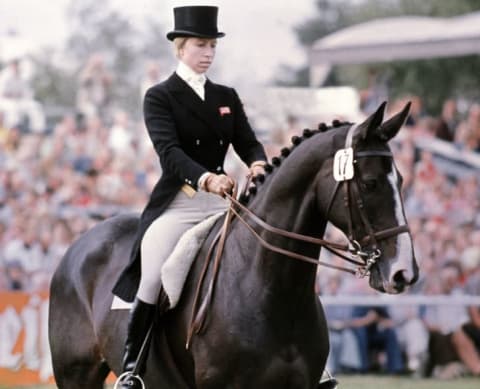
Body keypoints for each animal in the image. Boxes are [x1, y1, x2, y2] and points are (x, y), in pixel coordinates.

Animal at [48, 101, 416, 386]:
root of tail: (79, 246)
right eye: (369, 184)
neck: (271, 287)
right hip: (75, 374)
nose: (404, 273)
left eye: (401, 180)